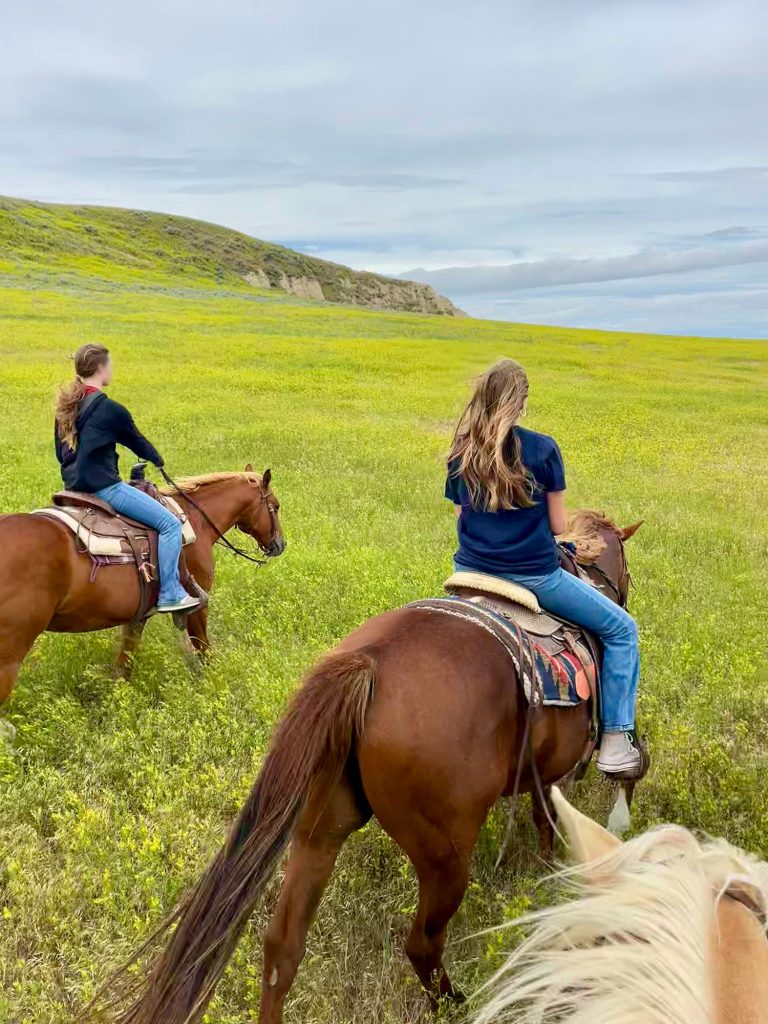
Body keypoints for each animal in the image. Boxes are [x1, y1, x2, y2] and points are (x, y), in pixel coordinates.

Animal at [0, 466, 286, 716]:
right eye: (275, 506)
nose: (280, 544)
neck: (195, 522)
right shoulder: (199, 604)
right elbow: (203, 648)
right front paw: (214, 684)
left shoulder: (138, 616)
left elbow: (124, 664)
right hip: (9, 658)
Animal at [96, 512, 643, 1024]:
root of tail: (367, 663)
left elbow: (544, 812)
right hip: (444, 857)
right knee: (422, 944)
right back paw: (457, 1003)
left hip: (319, 829)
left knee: (281, 946)